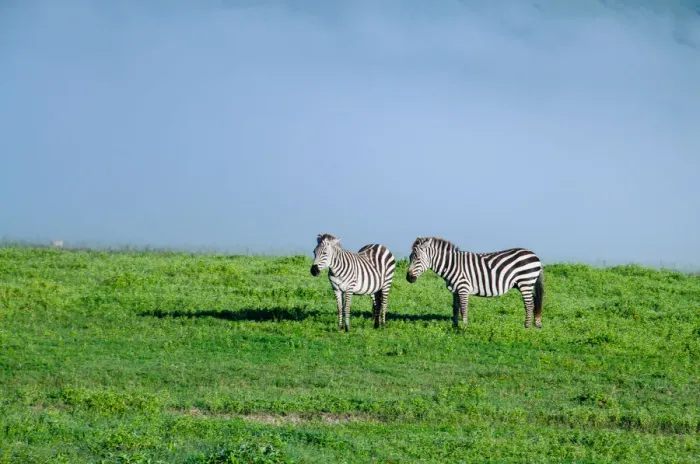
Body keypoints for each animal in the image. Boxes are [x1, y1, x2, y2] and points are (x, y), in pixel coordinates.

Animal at [406, 236, 544, 329]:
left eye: (418, 259)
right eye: (409, 258)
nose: (408, 278)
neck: (451, 265)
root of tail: (535, 255)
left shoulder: (463, 288)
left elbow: (464, 308)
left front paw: (464, 327)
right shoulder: (455, 290)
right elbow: (455, 308)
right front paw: (454, 326)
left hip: (525, 282)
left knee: (529, 304)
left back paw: (526, 327)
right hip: (527, 284)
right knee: (535, 302)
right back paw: (537, 325)